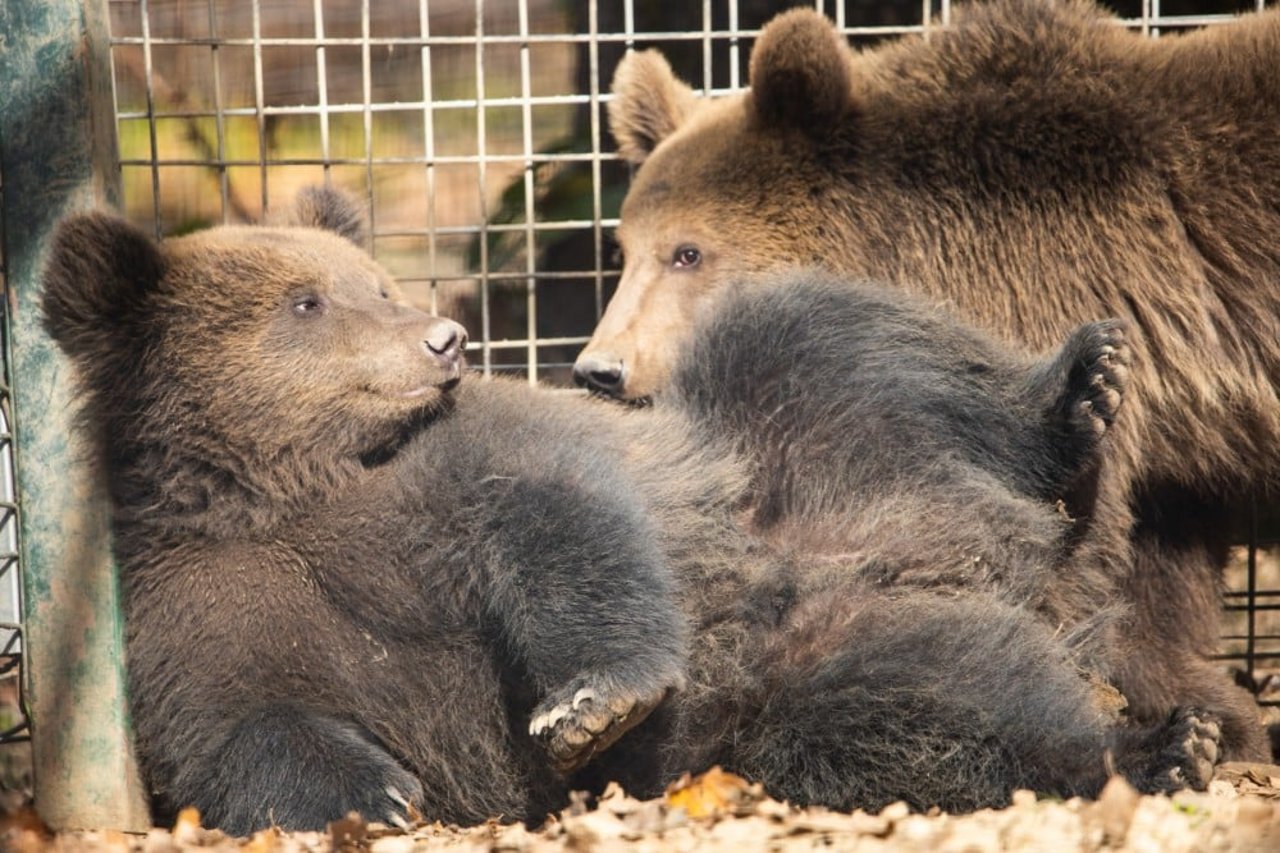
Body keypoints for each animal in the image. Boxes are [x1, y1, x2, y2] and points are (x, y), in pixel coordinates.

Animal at [576, 0, 1274, 758]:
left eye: (688, 252)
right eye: (623, 248)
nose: (600, 368)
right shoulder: (1184, 440)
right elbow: (1159, 558)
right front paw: (1212, 710)